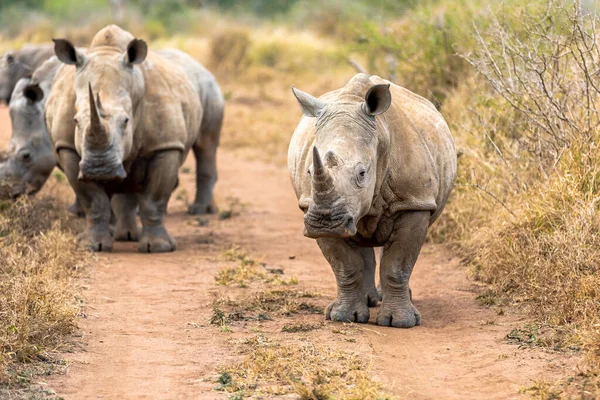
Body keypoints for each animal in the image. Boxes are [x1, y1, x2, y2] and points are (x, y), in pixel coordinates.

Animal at [288, 74, 458, 328]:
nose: (325, 223)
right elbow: (345, 265)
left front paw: (401, 322)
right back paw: (366, 302)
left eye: (362, 173)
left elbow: (397, 264)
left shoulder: (414, 201)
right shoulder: (312, 206)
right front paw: (343, 316)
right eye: (309, 172)